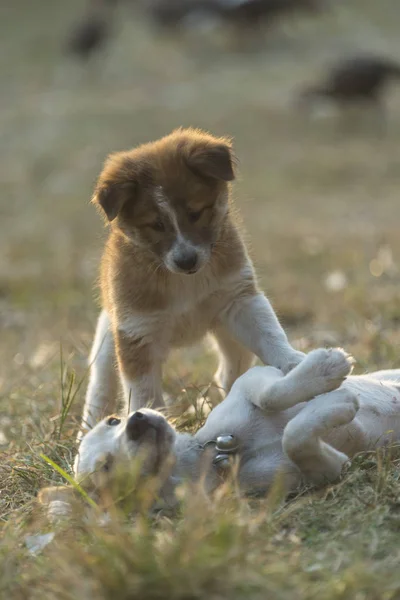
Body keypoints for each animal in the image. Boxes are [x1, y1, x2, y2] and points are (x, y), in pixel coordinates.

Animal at [70, 350, 400, 504]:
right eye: (105, 467)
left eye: (113, 420)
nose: (135, 422)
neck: (214, 455)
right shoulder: (325, 472)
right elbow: (295, 438)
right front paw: (338, 403)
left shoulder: (249, 381)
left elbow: (270, 395)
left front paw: (325, 368)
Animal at [81, 127, 304, 436]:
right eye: (156, 225)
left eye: (195, 213)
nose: (186, 261)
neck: (182, 282)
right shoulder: (137, 332)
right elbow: (144, 393)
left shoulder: (239, 300)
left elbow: (271, 335)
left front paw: (294, 363)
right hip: (107, 341)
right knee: (100, 388)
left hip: (228, 333)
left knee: (229, 370)